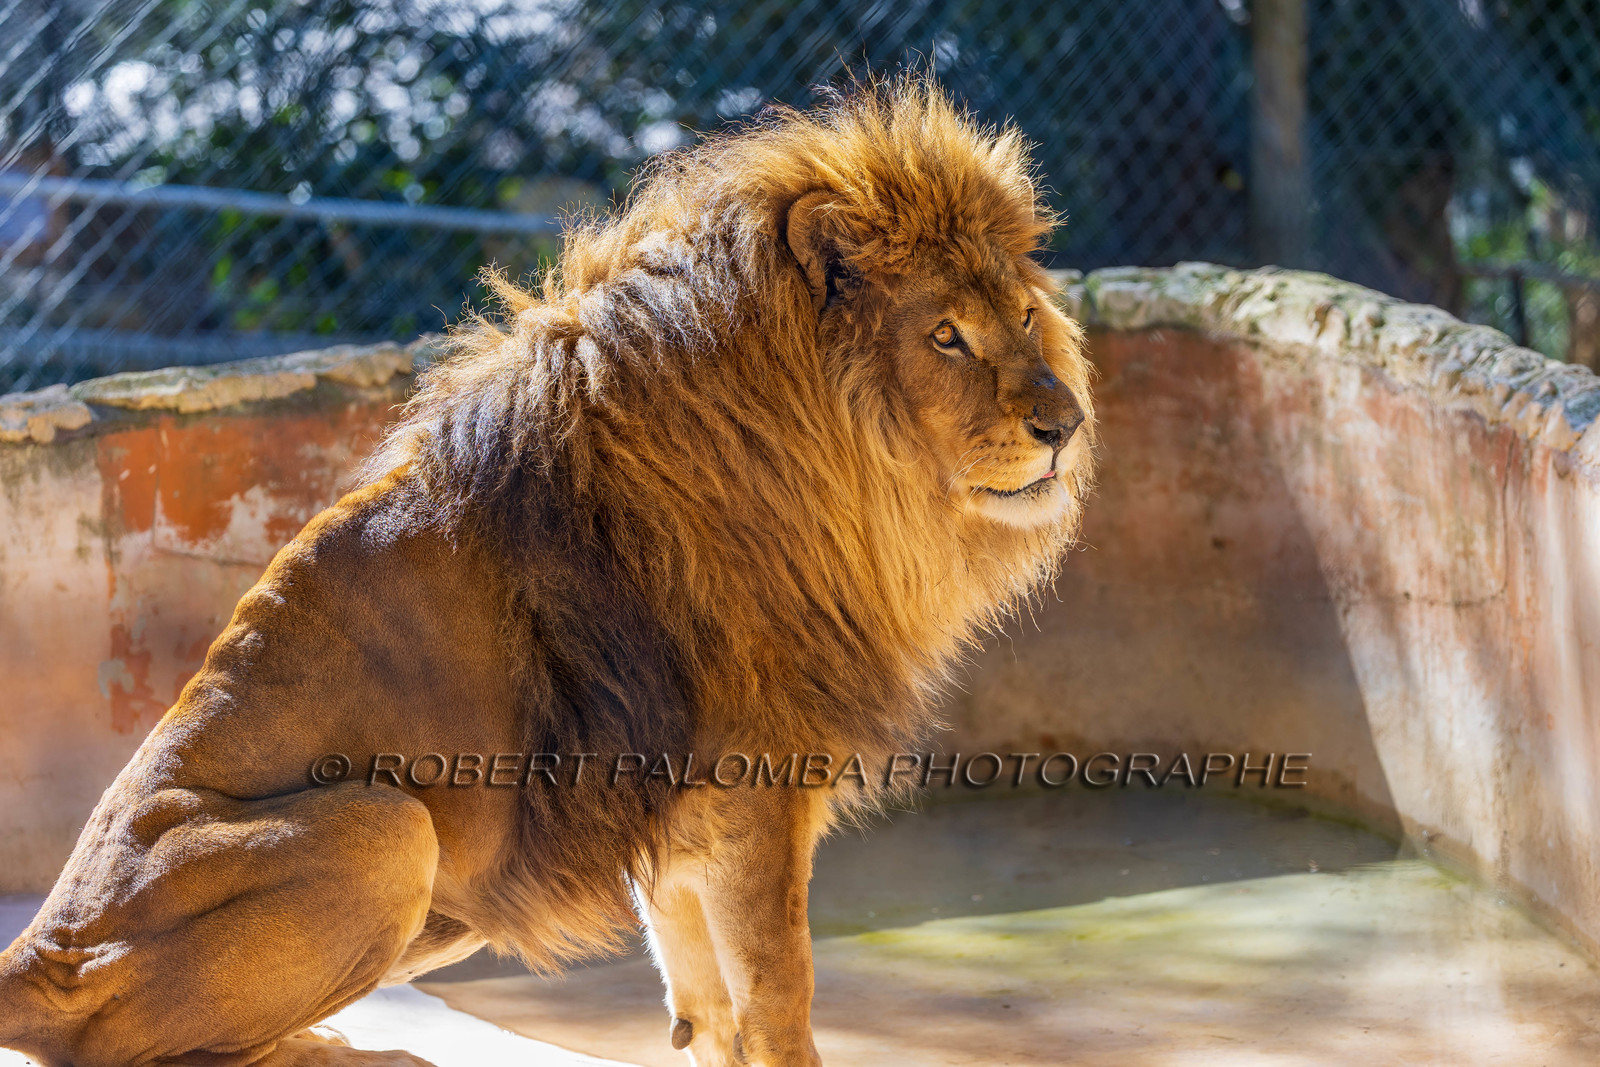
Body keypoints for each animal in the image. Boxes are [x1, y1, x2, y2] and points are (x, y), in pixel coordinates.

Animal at [0, 78, 1094, 1066]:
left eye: (1024, 318)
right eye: (945, 334)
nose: (1065, 423)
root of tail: (37, 946)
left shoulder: (675, 796)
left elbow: (703, 991)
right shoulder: (752, 780)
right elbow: (779, 986)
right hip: (386, 825)